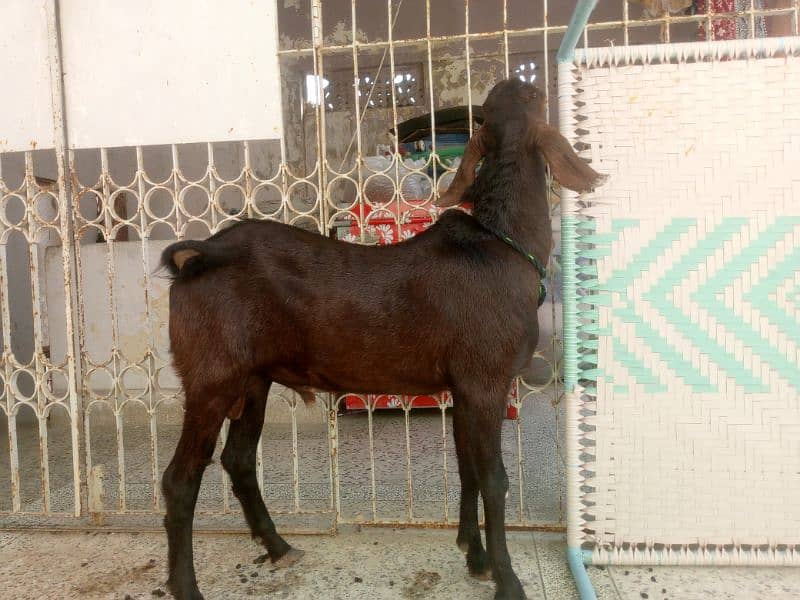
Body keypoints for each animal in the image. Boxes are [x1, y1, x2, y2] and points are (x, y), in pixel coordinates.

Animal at [159, 77, 604, 596]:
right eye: (535, 97)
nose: (522, 83)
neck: (501, 242)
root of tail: (199, 255)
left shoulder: (462, 386)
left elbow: (468, 468)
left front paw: (474, 556)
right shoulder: (486, 380)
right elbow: (494, 479)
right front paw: (507, 579)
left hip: (253, 376)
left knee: (239, 458)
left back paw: (278, 546)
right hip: (211, 376)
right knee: (180, 479)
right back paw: (187, 585)